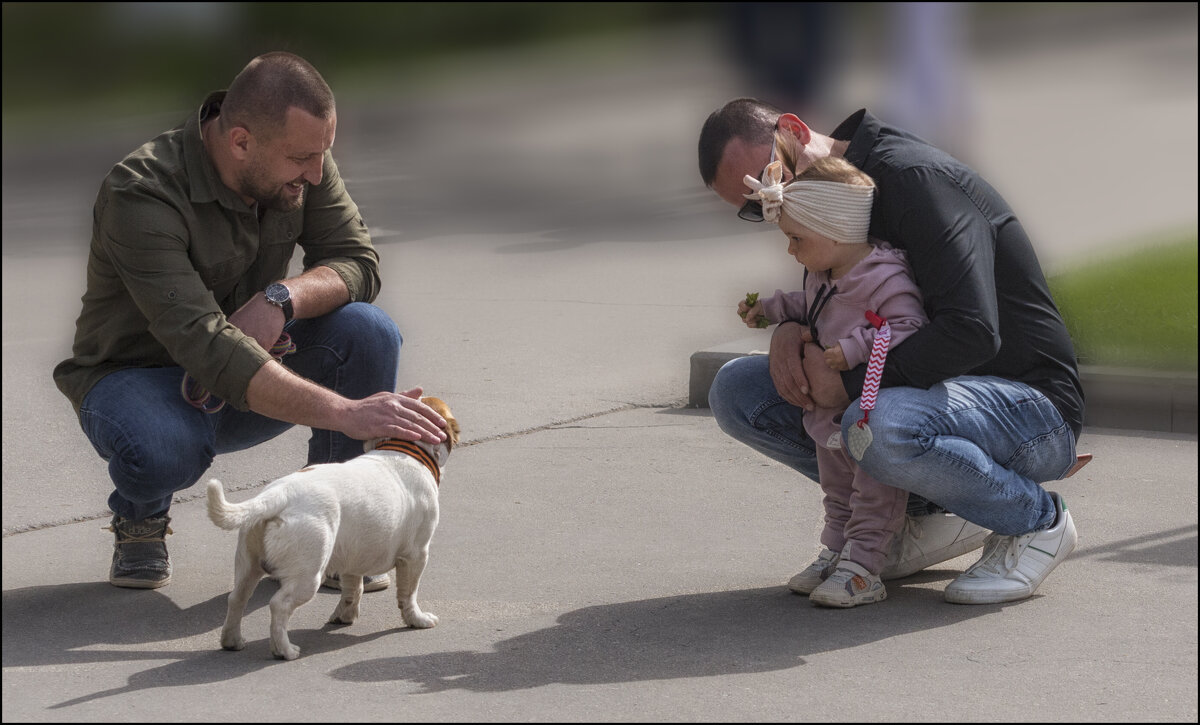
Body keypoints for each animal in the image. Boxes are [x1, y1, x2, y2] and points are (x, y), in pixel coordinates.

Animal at [206, 396, 458, 657]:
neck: (405, 448)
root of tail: (279, 494)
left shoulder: (355, 554)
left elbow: (353, 588)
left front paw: (344, 616)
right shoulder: (416, 555)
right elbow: (408, 593)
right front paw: (417, 619)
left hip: (248, 564)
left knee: (237, 598)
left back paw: (232, 640)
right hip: (308, 574)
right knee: (279, 605)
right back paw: (285, 650)